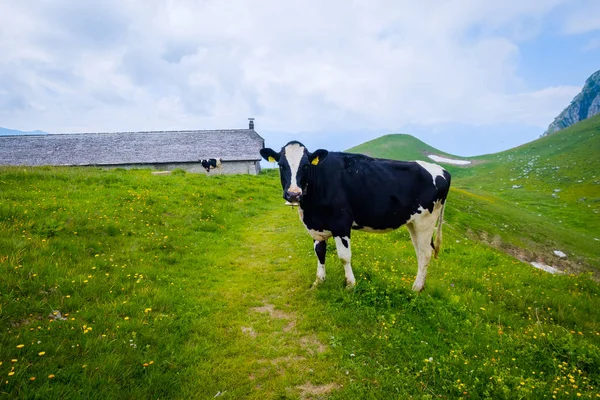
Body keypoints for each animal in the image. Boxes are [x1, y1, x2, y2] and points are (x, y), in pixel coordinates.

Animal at [260, 141, 452, 290]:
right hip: (413, 222)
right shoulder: (316, 225)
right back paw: (421, 285)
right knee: (420, 251)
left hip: (425, 221)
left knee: (425, 252)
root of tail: (443, 170)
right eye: (281, 165)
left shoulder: (341, 223)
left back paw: (416, 288)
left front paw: (350, 285)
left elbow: (344, 256)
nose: (293, 194)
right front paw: (319, 281)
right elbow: (319, 252)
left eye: (306, 165)